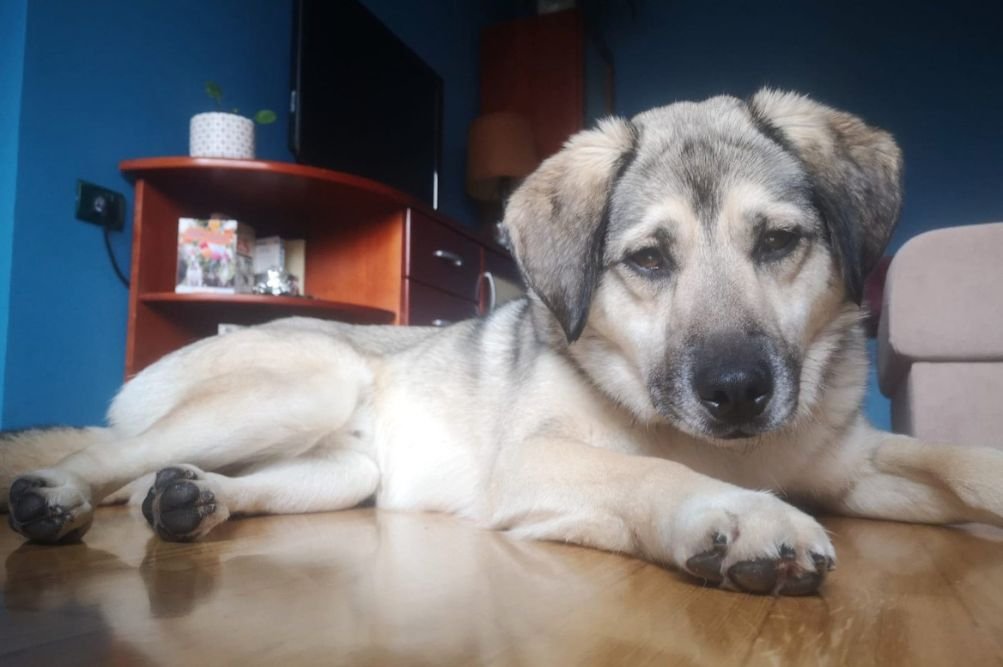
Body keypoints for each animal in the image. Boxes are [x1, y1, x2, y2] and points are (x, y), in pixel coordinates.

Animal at [4, 90, 1002, 596]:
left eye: (777, 241)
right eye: (648, 259)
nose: (736, 390)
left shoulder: (855, 463)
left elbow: (952, 458)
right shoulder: (531, 463)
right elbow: (654, 470)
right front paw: (735, 514)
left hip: (341, 471)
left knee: (174, 477)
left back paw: (191, 498)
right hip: (305, 383)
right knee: (108, 456)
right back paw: (56, 492)